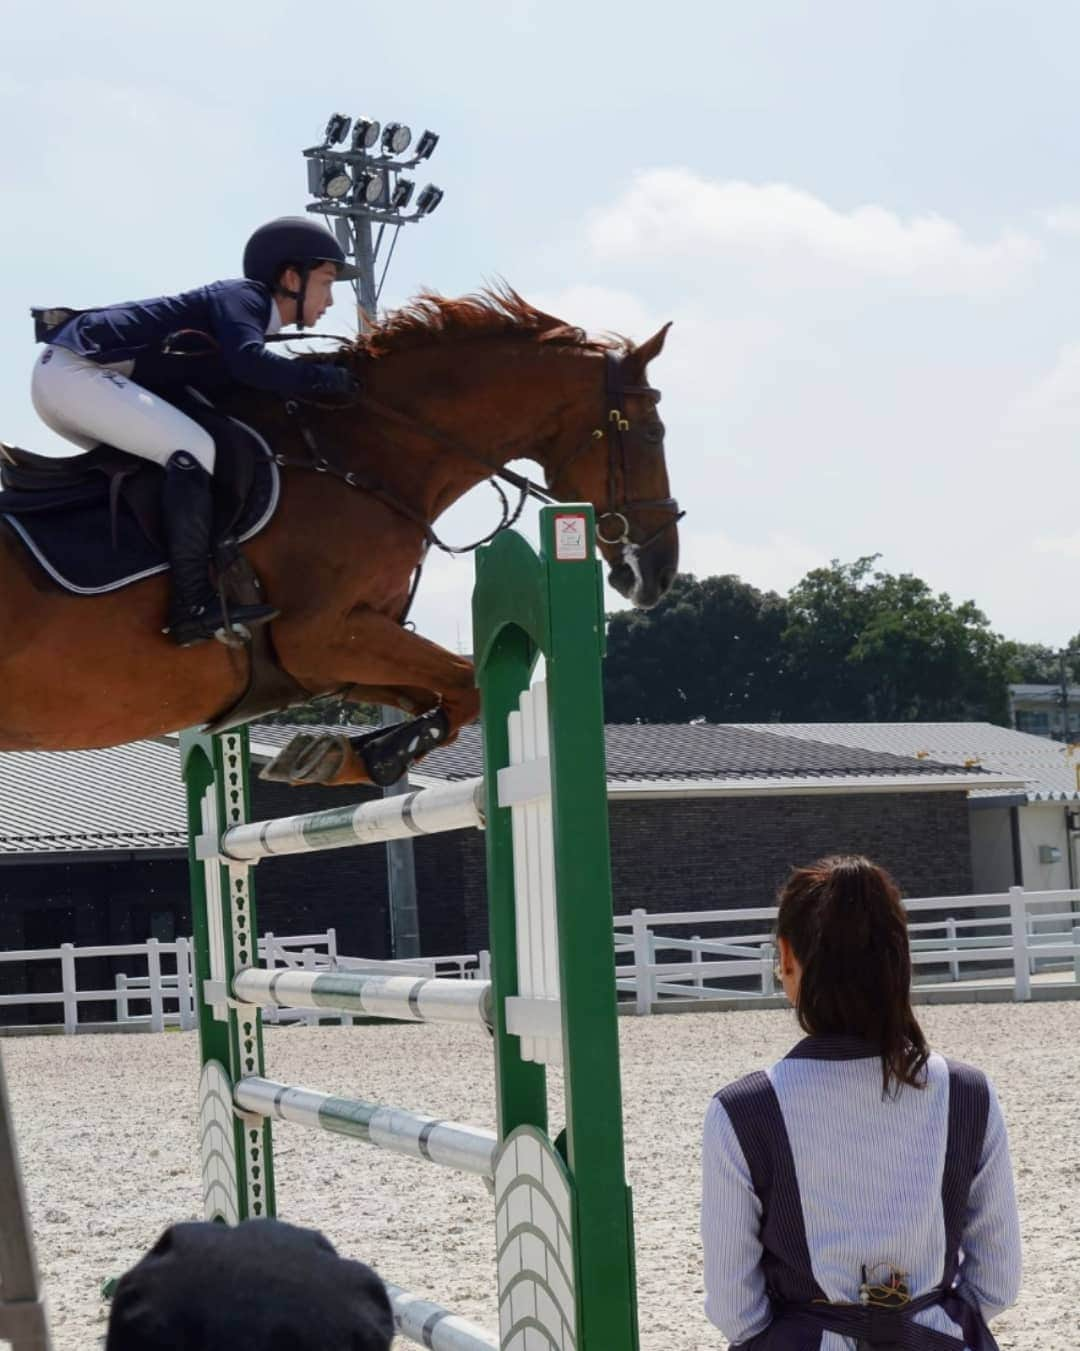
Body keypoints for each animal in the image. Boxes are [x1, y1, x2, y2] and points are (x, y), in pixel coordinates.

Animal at [0, 290, 675, 788]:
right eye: (652, 433)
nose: (659, 574)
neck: (363, 457)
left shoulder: (330, 655)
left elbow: (450, 693)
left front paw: (338, 756)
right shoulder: (320, 634)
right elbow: (465, 681)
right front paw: (373, 756)